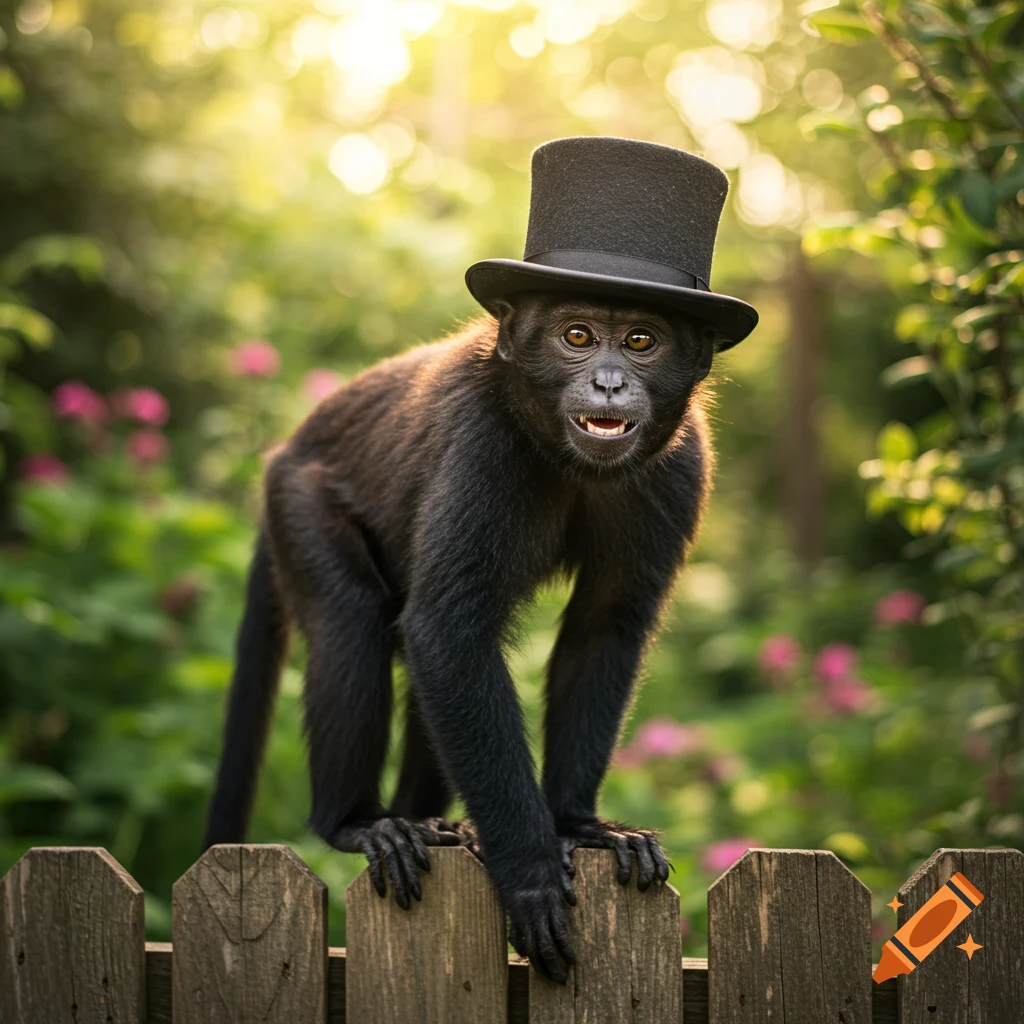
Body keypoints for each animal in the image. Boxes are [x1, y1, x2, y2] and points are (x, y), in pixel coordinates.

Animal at [203, 290, 716, 983]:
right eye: (577, 335)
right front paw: (529, 877)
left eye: (641, 341)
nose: (610, 382)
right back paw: (358, 823)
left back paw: (436, 824)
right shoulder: (482, 443)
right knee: (354, 619)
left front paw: (580, 826)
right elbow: (446, 632)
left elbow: (604, 628)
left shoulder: (680, 465)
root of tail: (289, 447)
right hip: (298, 502)